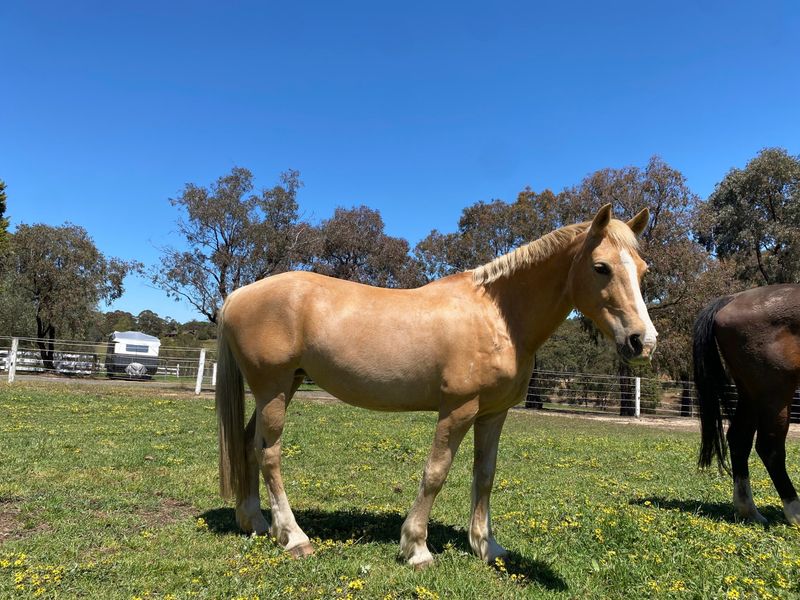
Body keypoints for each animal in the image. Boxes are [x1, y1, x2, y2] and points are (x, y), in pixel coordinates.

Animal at [215, 204, 657, 567]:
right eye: (601, 267)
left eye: (642, 270)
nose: (644, 342)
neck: (498, 316)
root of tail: (239, 294)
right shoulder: (458, 409)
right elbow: (436, 472)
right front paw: (417, 548)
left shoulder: (494, 414)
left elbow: (485, 474)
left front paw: (486, 547)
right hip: (273, 389)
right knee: (269, 453)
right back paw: (294, 537)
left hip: (284, 387)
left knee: (248, 443)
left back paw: (255, 522)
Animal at [693, 284, 800, 526]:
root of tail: (732, 298)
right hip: (775, 395)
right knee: (770, 448)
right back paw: (795, 512)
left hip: (750, 394)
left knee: (739, 439)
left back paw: (748, 510)